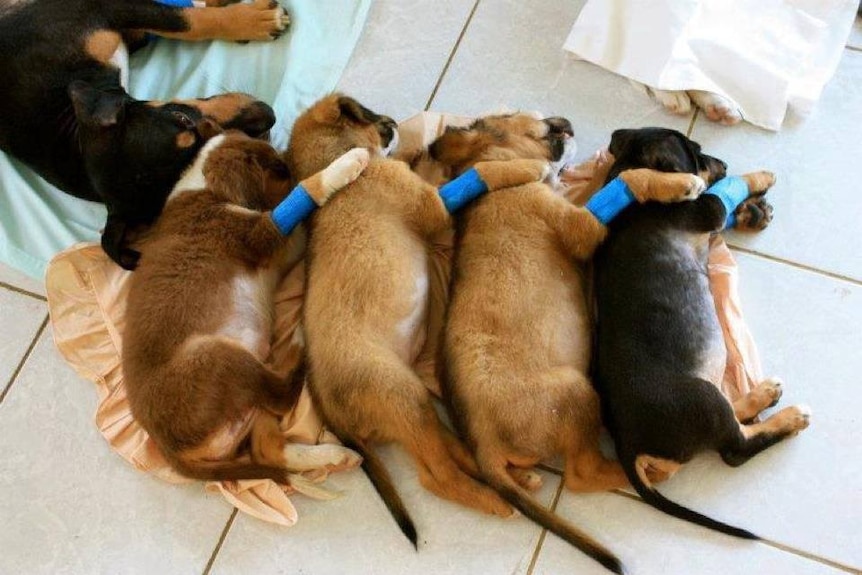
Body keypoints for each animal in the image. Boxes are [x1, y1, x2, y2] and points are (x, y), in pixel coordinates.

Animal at [0, 0, 290, 270]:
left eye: (181, 118)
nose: (268, 116)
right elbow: (181, 20)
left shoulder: (101, 8)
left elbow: (188, 22)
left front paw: (253, 20)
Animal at [122, 130, 368, 486]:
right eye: (280, 169)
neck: (205, 189)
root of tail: (171, 452)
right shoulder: (261, 235)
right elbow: (305, 191)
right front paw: (346, 164)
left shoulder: (285, 247)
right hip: (215, 357)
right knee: (282, 396)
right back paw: (299, 339)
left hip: (249, 407)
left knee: (270, 447)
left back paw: (335, 456)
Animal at [286, 93, 552, 544]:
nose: (394, 121)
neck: (340, 166)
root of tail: (328, 406)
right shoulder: (435, 205)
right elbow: (481, 171)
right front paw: (529, 167)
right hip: (404, 398)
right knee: (437, 477)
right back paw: (497, 502)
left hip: (419, 404)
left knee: (458, 453)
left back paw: (516, 479)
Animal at [432, 113, 708, 575]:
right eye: (538, 124)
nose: (565, 121)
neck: (501, 180)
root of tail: (482, 438)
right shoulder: (584, 228)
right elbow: (627, 179)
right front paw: (675, 183)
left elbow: (602, 183)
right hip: (577, 391)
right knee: (583, 474)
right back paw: (652, 472)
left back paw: (525, 479)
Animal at [592, 127, 812, 540]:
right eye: (696, 151)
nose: (722, 162)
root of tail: (627, 443)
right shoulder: (707, 210)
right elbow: (727, 190)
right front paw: (759, 177)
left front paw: (754, 210)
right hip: (702, 399)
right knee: (735, 447)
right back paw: (791, 418)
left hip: (708, 396)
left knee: (734, 418)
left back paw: (764, 394)